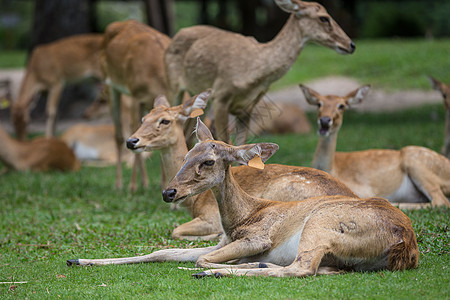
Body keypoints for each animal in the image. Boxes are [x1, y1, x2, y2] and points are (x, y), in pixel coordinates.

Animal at [67, 118, 418, 280]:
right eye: (186, 156)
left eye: (208, 161)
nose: (169, 192)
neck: (240, 218)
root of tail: (407, 246)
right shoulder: (223, 241)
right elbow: (161, 251)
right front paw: (78, 259)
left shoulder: (257, 238)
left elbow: (199, 258)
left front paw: (213, 267)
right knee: (324, 268)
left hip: (321, 223)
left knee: (301, 268)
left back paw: (218, 271)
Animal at [102, 19, 172, 190]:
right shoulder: (135, 96)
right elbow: (133, 133)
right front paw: (133, 186)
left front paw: (163, 183)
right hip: (110, 84)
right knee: (119, 135)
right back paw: (121, 184)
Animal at [126, 89, 358, 241]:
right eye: (144, 118)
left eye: (165, 121)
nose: (131, 141)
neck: (195, 202)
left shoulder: (210, 217)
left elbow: (176, 231)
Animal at [165, 0, 356, 145]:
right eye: (324, 18)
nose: (351, 44)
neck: (253, 71)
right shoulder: (221, 96)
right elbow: (224, 143)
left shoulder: (247, 107)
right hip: (175, 86)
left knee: (188, 134)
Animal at [298, 83, 450, 207]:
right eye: (319, 104)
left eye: (341, 106)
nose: (324, 120)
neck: (332, 168)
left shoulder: (362, 188)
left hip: (416, 162)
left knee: (440, 202)